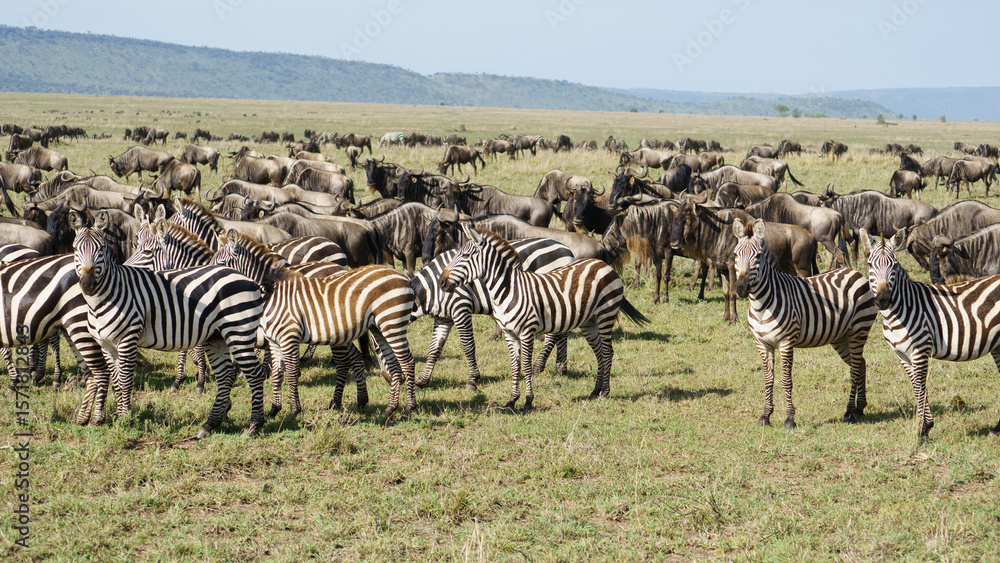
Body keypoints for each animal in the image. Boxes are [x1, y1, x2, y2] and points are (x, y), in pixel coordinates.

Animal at [69, 210, 270, 438]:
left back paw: (254, 425)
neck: (106, 297)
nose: (87, 284)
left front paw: (124, 419)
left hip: (239, 333)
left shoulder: (128, 339)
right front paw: (109, 418)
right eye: (75, 249)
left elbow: (125, 380)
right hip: (216, 337)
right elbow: (116, 381)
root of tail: (249, 279)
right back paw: (210, 424)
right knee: (226, 375)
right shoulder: (106, 344)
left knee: (255, 374)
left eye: (101, 248)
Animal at [412, 237, 574, 391]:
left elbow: (468, 346)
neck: (431, 287)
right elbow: (434, 350)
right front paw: (422, 381)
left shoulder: (461, 307)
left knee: (554, 335)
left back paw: (538, 367)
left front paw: (472, 380)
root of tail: (567, 250)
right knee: (562, 331)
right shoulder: (443, 318)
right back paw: (561, 367)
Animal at [439, 226, 649, 412]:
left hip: (606, 315)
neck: (509, 290)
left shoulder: (527, 331)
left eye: (465, 256)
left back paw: (605, 392)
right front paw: (511, 401)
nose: (441, 282)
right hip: (589, 323)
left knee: (607, 352)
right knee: (599, 353)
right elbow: (514, 367)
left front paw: (528, 402)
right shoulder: (509, 333)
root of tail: (602, 263)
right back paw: (595, 391)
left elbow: (525, 367)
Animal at [733, 219, 878, 429]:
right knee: (861, 365)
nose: (741, 288)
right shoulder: (763, 344)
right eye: (736, 254)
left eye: (758, 256)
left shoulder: (786, 343)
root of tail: (855, 273)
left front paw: (789, 419)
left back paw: (849, 412)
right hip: (841, 337)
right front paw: (765, 416)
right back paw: (859, 408)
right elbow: (768, 380)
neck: (761, 305)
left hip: (859, 329)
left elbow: (786, 380)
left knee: (856, 368)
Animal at [861, 228, 1000, 439]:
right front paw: (925, 428)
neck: (900, 309)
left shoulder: (920, 349)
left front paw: (923, 428)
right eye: (870, 265)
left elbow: (920, 386)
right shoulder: (902, 354)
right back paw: (997, 429)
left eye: (894, 266)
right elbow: (915, 386)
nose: (883, 299)